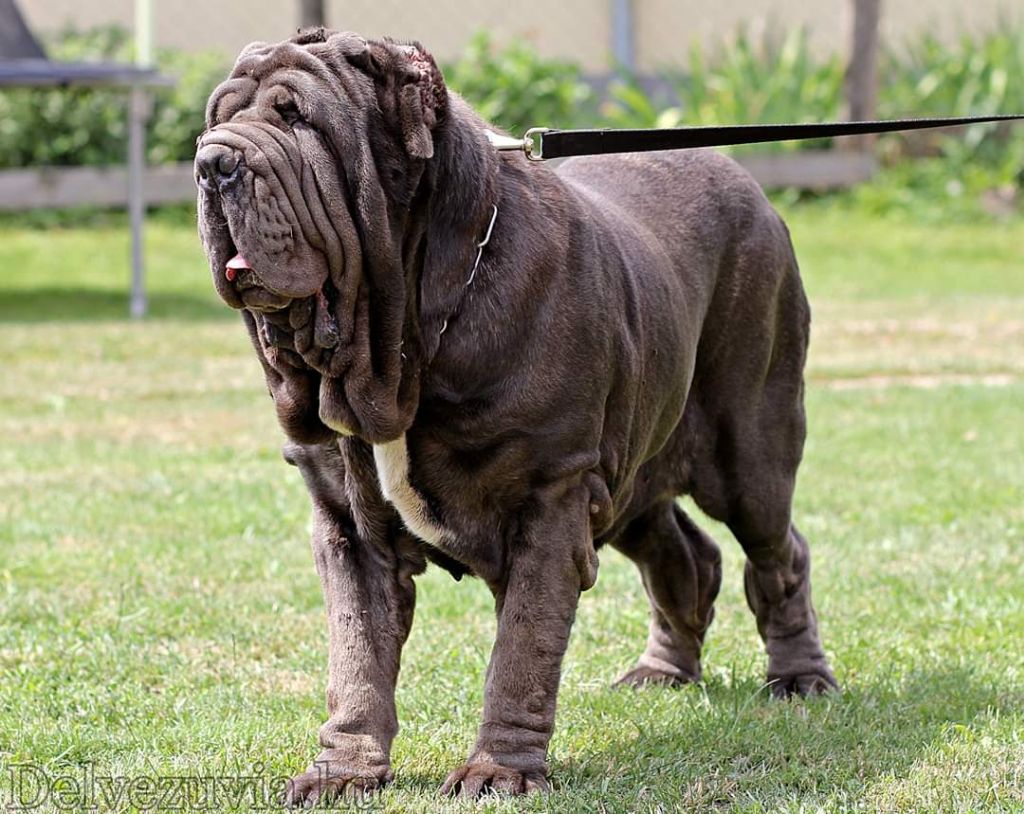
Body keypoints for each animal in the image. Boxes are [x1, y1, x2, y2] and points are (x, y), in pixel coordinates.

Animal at [195, 28, 835, 806]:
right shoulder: (347, 524)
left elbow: (522, 650)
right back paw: (663, 671)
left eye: (297, 119)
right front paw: (341, 772)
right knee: (686, 554)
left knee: (777, 550)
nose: (212, 161)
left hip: (748, 449)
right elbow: (356, 659)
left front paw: (497, 770)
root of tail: (744, 178)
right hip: (631, 475)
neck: (402, 345)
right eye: (218, 118)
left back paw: (800, 675)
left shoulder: (551, 495)